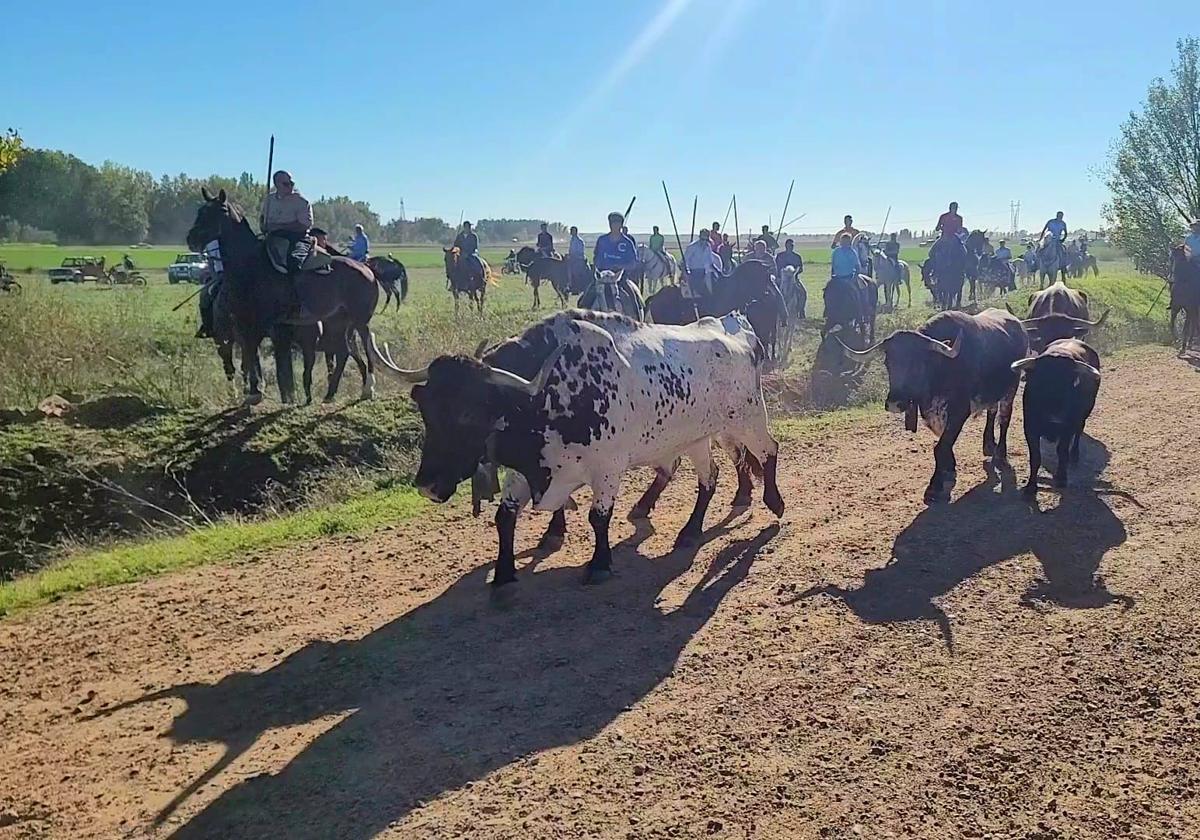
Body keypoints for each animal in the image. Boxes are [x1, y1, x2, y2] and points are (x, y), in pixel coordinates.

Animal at [186, 188, 379, 405]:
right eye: (200, 211)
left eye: (216, 212)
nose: (191, 239)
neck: (250, 266)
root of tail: (367, 270)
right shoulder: (247, 326)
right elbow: (251, 357)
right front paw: (255, 391)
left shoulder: (264, 326)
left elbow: (257, 359)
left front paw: (265, 392)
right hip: (338, 321)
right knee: (343, 352)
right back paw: (330, 394)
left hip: (360, 320)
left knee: (366, 346)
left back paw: (368, 389)